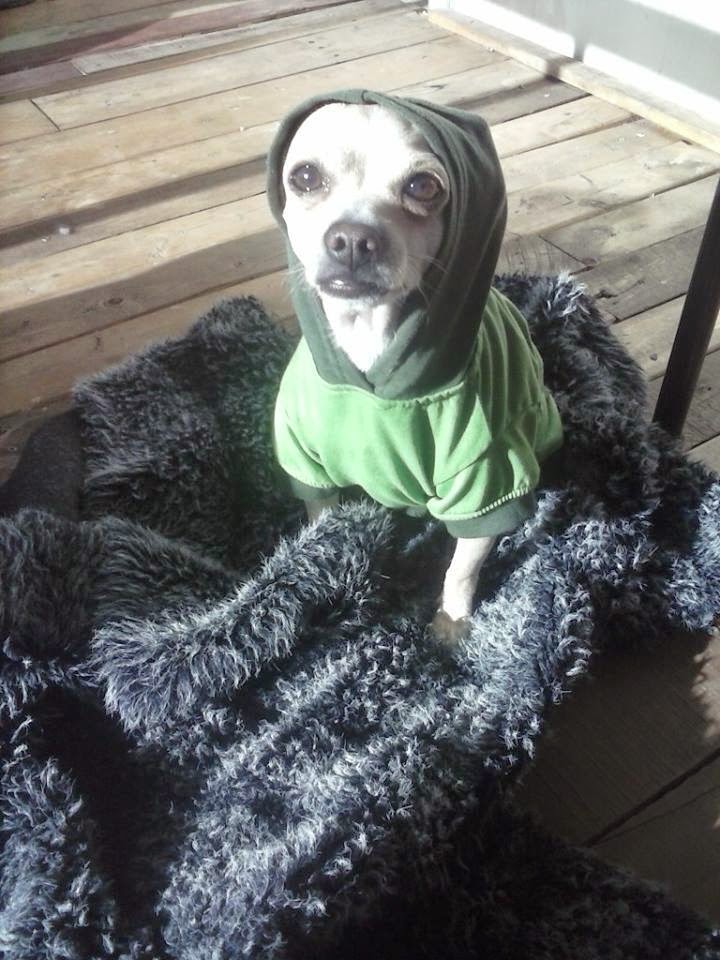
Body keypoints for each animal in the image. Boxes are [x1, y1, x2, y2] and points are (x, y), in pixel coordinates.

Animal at [268, 92, 563, 644]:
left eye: (423, 186)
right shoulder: (308, 467)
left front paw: (452, 621)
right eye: (304, 177)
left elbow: (462, 566)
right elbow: (323, 523)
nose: (353, 238)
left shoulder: (485, 485)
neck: (367, 348)